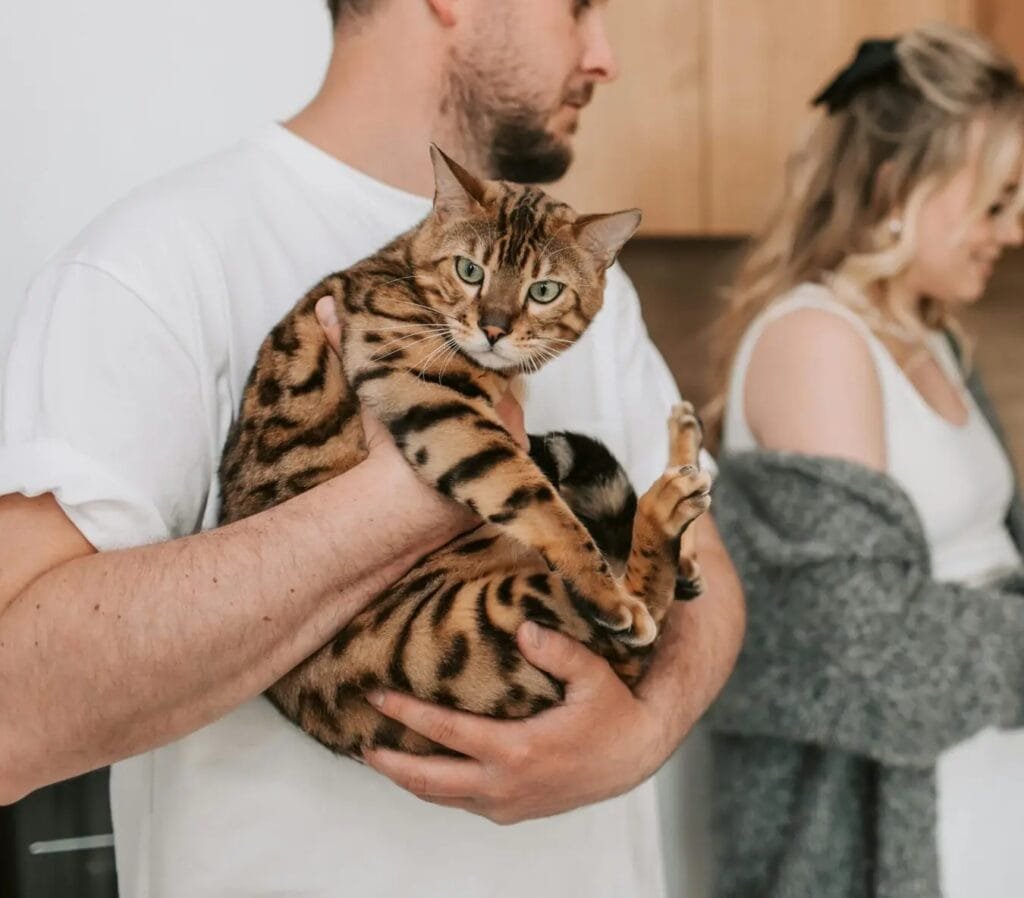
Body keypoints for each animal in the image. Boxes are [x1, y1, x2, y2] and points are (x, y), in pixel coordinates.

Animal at [216, 148, 712, 757]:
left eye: (544, 291)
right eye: (469, 270)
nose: (494, 329)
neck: (403, 268)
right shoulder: (429, 393)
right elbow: (534, 497)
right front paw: (602, 587)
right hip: (477, 626)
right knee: (635, 622)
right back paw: (663, 513)